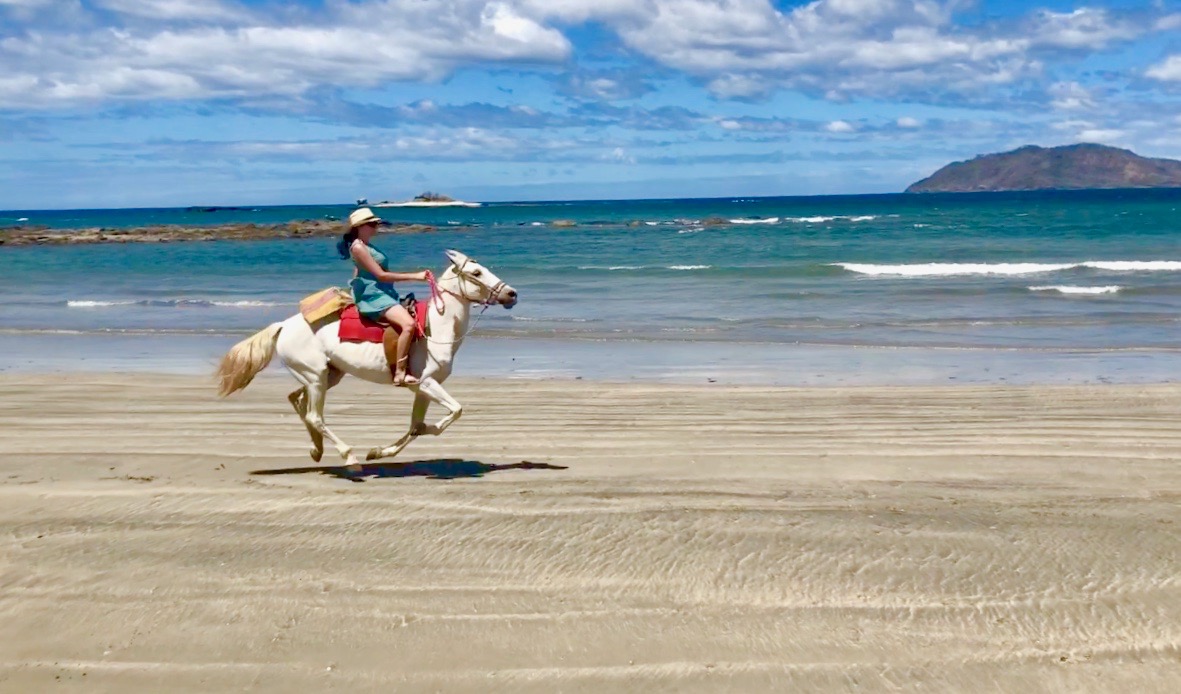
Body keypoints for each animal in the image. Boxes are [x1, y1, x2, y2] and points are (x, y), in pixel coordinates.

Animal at [216, 249, 517, 467]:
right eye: (476, 272)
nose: (511, 293)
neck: (437, 328)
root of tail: (283, 325)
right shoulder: (426, 383)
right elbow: (453, 412)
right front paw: (420, 432)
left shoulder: (424, 389)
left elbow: (415, 426)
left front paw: (379, 451)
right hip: (316, 377)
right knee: (314, 415)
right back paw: (348, 456)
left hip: (328, 375)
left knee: (297, 401)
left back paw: (317, 449)